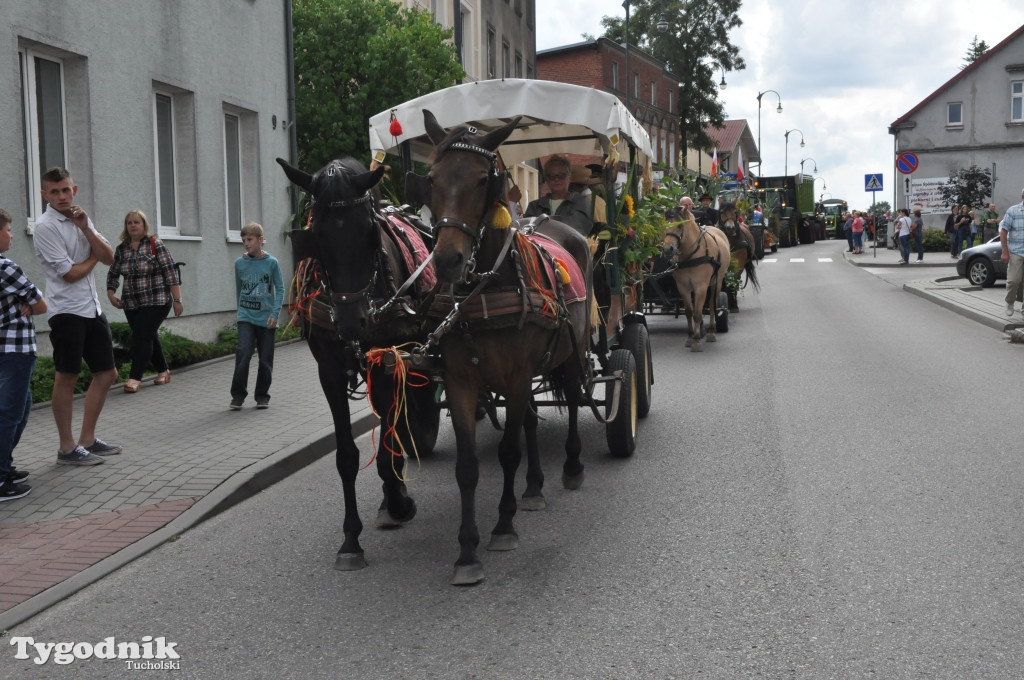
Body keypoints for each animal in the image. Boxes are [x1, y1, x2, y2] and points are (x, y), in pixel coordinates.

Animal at [278, 156, 438, 569]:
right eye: (316, 234)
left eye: (369, 233)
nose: (352, 322)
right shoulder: (329, 372)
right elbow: (347, 455)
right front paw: (351, 538)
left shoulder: (385, 359)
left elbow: (387, 436)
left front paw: (398, 502)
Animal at [413, 110, 593, 585]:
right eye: (432, 178)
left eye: (482, 180)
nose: (447, 261)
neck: (484, 289)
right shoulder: (462, 381)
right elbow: (468, 467)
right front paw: (466, 551)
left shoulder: (514, 376)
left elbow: (509, 451)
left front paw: (503, 526)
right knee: (529, 417)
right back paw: (533, 486)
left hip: (571, 353)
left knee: (572, 399)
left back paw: (571, 467)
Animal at [659, 205, 733, 350]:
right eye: (665, 225)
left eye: (679, 226)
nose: (667, 249)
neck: (690, 255)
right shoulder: (683, 287)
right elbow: (690, 312)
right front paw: (690, 337)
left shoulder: (701, 286)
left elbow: (698, 312)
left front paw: (697, 340)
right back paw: (702, 330)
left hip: (716, 282)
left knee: (711, 305)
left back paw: (710, 332)